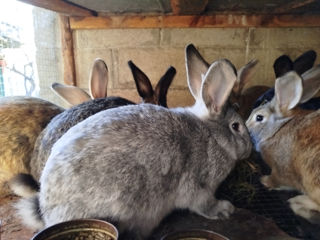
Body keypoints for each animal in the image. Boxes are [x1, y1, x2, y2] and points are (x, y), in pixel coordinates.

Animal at [246, 65, 320, 223]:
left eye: (259, 117)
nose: (246, 129)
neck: (279, 128)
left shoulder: (280, 170)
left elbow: (277, 180)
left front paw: (264, 181)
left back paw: (298, 203)